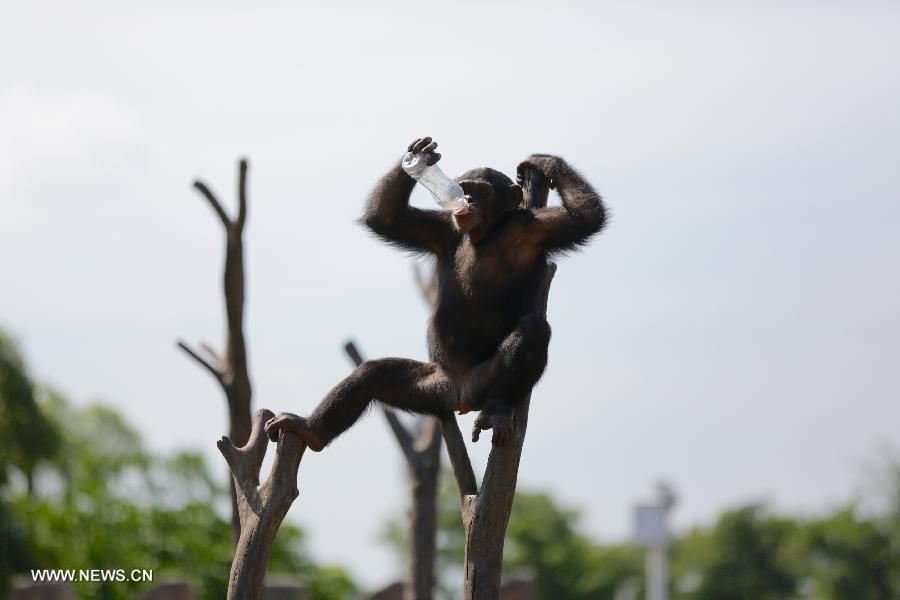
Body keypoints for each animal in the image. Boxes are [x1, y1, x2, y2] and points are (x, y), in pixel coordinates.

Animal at [264, 135, 608, 446]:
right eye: (465, 188)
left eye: (481, 191)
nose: (467, 200)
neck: (486, 232)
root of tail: (459, 398)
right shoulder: (440, 228)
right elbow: (388, 218)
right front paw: (419, 154)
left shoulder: (536, 228)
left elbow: (586, 217)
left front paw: (543, 162)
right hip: (431, 387)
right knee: (374, 374)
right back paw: (310, 429)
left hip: (480, 384)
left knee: (534, 329)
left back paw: (497, 410)